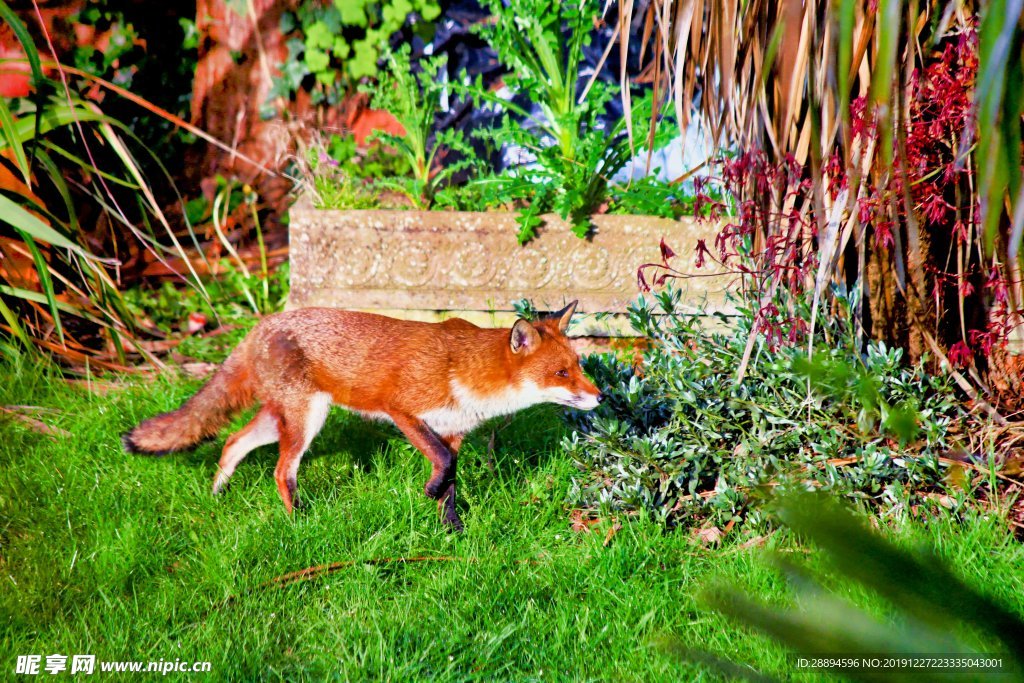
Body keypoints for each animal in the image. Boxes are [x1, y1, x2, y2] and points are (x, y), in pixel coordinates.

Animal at [121, 301, 598, 532]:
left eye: (579, 364)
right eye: (561, 372)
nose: (599, 396)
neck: (465, 372)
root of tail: (262, 324)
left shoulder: (452, 431)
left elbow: (452, 480)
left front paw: (452, 529)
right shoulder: (403, 410)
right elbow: (443, 468)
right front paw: (431, 494)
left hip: (282, 419)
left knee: (232, 441)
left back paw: (217, 493)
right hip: (306, 420)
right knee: (280, 471)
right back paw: (299, 522)